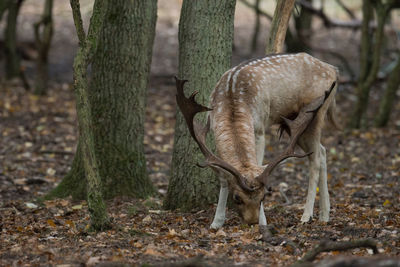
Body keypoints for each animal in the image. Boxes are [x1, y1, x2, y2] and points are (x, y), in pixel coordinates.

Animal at [175, 52, 338, 230]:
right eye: (237, 198)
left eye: (263, 197)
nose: (252, 222)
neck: (232, 101)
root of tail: (333, 69)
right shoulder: (213, 131)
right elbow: (224, 176)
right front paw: (216, 222)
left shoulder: (259, 129)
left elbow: (257, 163)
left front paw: (263, 220)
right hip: (296, 123)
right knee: (322, 151)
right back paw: (324, 215)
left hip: (317, 113)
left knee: (315, 158)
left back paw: (306, 216)